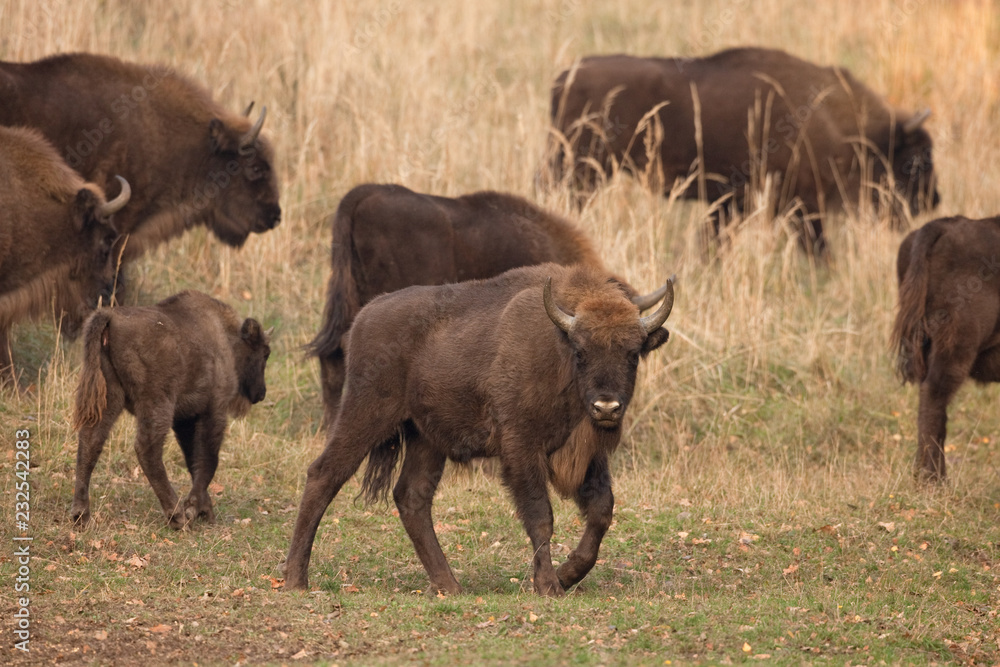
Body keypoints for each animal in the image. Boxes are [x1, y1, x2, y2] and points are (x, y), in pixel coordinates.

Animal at [72, 290, 271, 528]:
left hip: (110, 397)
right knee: (147, 449)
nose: (261, 392)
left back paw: (80, 514)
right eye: (265, 353)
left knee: (90, 441)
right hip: (157, 404)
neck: (226, 338)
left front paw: (204, 510)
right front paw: (194, 508)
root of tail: (110, 318)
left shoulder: (185, 419)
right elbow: (208, 460)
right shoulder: (213, 411)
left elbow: (193, 459)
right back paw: (176, 516)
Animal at [285, 263, 674, 596]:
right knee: (324, 474)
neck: (557, 343)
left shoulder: (587, 455)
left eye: (633, 353)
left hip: (426, 439)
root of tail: (364, 318)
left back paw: (450, 585)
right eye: (581, 352)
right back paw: (296, 579)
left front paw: (567, 574)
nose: (606, 407)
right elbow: (541, 516)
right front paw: (549, 585)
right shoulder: (521, 447)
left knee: (412, 497)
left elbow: (601, 510)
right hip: (365, 414)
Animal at [545, 47, 940, 251]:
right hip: (580, 171)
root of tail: (565, 77)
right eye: (915, 161)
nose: (933, 200)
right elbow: (817, 248)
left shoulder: (733, 204)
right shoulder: (800, 204)